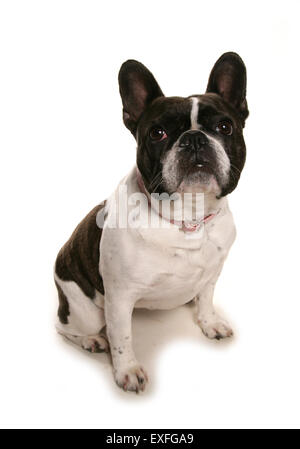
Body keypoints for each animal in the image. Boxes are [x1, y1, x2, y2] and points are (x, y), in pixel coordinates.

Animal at [54, 52, 248, 390]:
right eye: (158, 133)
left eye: (225, 126)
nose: (194, 139)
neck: (188, 219)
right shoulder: (120, 297)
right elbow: (122, 337)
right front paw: (127, 370)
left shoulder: (213, 273)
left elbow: (206, 299)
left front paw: (209, 322)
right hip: (85, 310)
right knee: (65, 328)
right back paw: (91, 340)